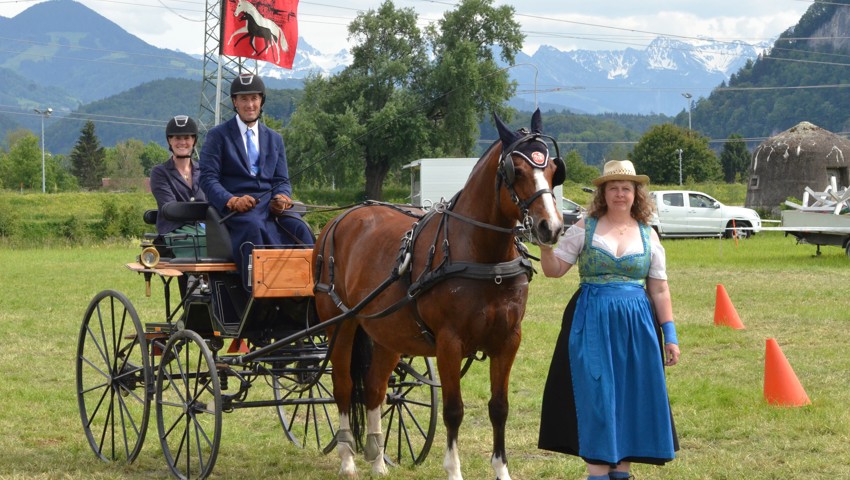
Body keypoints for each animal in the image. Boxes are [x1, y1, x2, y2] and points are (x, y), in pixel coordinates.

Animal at [310, 109, 564, 480]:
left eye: (553, 170)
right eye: (514, 171)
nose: (552, 227)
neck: (482, 255)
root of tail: (339, 219)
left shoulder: (508, 340)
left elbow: (499, 407)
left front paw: (502, 470)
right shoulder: (449, 342)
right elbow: (454, 409)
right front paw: (454, 470)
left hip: (386, 333)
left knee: (374, 389)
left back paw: (378, 460)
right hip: (340, 324)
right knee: (343, 386)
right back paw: (348, 460)